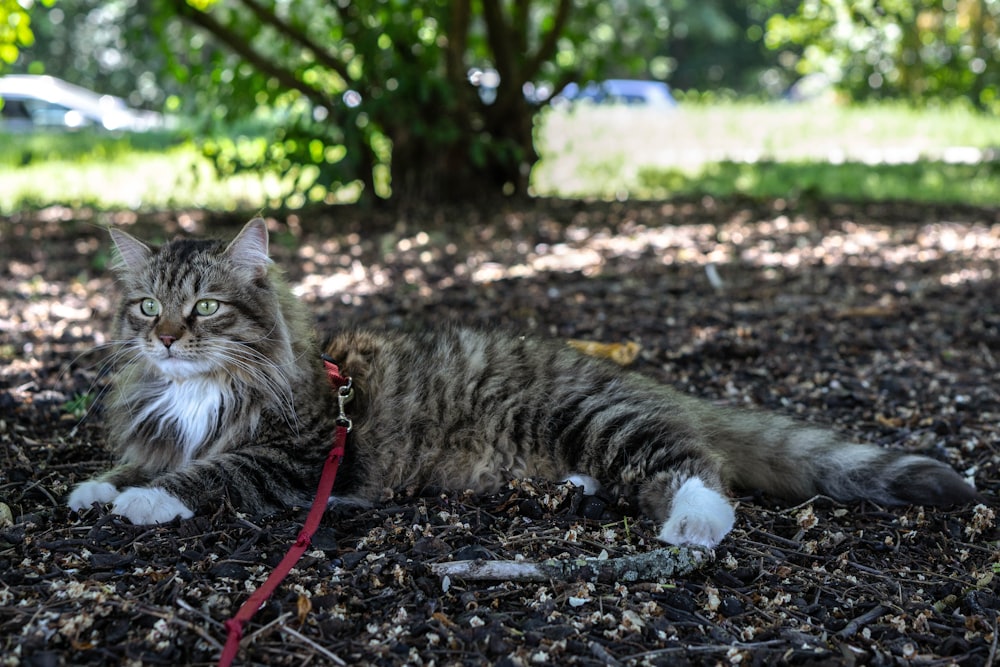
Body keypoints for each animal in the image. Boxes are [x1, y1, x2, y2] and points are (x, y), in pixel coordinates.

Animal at [68, 219, 976, 548]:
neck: (200, 389)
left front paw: (143, 499)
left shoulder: (298, 455)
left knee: (694, 468)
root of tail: (619, 370)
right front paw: (99, 485)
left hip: (598, 418)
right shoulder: (165, 425)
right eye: (147, 303)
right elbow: (142, 458)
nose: (165, 336)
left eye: (206, 306)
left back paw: (693, 523)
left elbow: (211, 473)